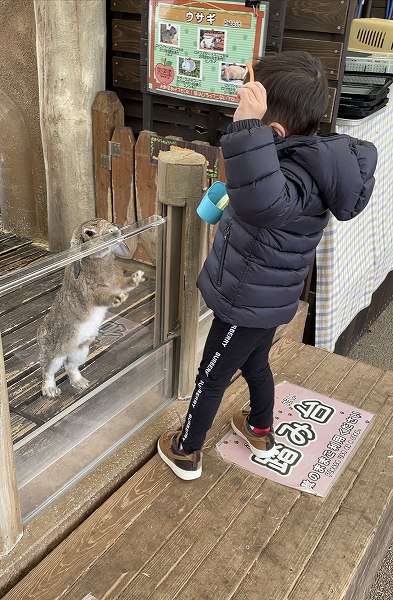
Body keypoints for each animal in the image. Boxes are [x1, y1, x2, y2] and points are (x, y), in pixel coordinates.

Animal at [37, 219, 145, 398]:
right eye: (89, 233)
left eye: (109, 222)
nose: (115, 231)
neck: (98, 260)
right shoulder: (93, 292)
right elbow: (104, 297)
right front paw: (118, 299)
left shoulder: (117, 282)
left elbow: (124, 283)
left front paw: (137, 278)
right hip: (54, 356)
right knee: (48, 372)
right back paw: (51, 390)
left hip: (80, 352)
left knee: (70, 366)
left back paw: (80, 383)